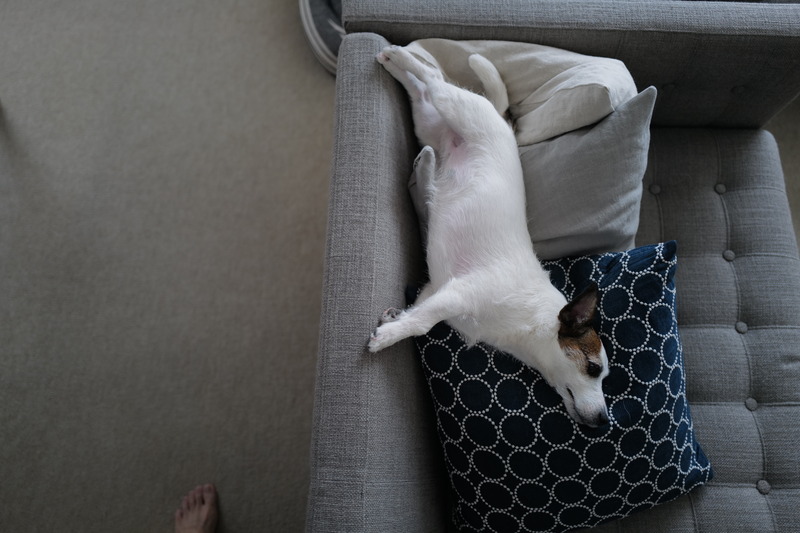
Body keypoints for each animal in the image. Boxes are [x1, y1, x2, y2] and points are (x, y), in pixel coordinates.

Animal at [368, 45, 610, 428]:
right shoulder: (456, 295)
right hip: (459, 107)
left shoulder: (436, 290)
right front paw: (389, 337)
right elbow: (421, 323)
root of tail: (500, 119)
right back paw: (400, 56)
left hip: (428, 121)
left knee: (421, 92)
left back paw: (396, 68)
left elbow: (418, 309)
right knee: (434, 79)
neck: (529, 319)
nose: (604, 422)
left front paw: (395, 320)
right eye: (593, 368)